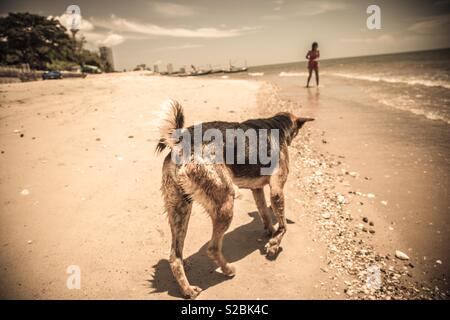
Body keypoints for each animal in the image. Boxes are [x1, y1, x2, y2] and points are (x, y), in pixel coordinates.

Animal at [156, 99, 312, 298]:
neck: (277, 124)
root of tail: (181, 146)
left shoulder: (257, 189)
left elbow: (265, 213)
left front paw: (270, 231)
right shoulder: (276, 190)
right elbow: (284, 226)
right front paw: (274, 244)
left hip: (180, 209)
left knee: (175, 256)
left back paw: (188, 289)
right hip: (225, 203)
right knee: (213, 248)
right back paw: (228, 269)